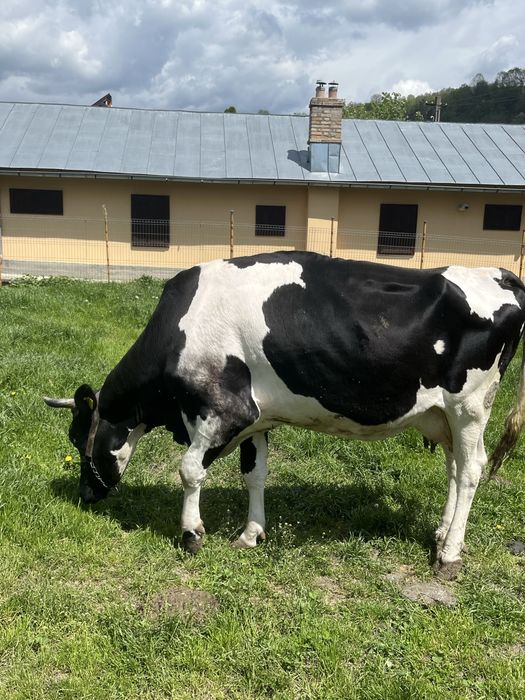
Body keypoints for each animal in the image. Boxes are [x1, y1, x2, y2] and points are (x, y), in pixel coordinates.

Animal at [45, 251, 525, 579]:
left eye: (78, 439)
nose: (85, 495)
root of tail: (496, 272)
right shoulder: (258, 418)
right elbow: (254, 475)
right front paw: (250, 534)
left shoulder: (225, 410)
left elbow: (189, 471)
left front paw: (191, 533)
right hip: (442, 415)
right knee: (454, 467)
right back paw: (441, 534)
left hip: (471, 405)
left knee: (471, 470)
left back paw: (449, 555)